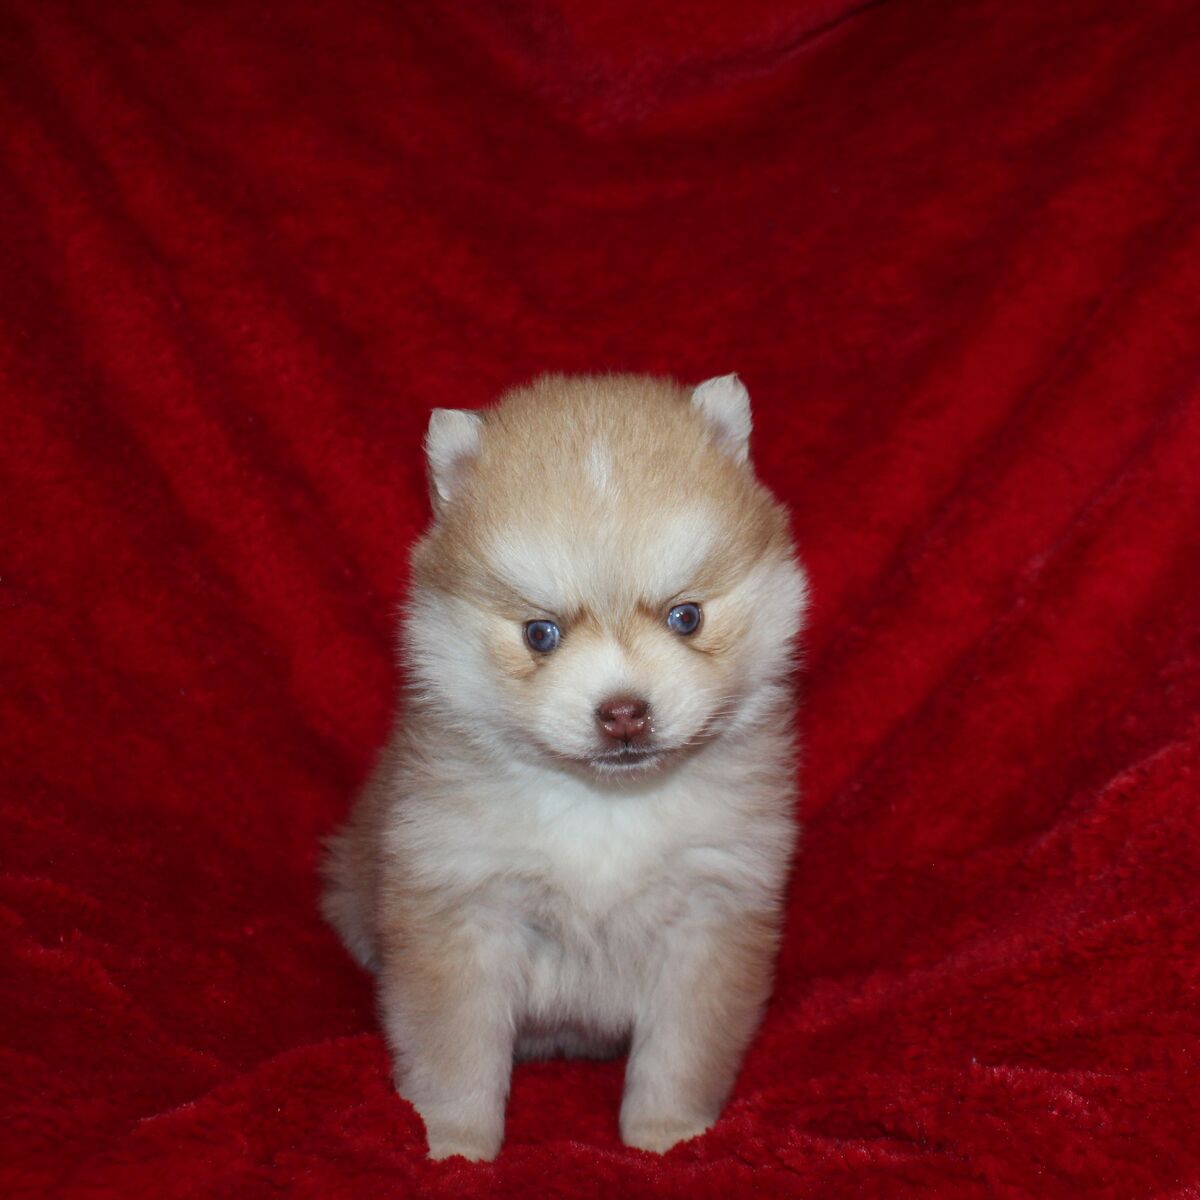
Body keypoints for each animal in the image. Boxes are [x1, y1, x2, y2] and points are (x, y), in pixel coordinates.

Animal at [321, 372, 808, 1160]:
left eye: (686, 617)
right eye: (540, 633)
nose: (624, 712)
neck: (604, 806)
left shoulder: (710, 913)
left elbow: (681, 1051)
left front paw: (668, 1138)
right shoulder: (463, 908)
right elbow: (456, 1054)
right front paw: (453, 1147)